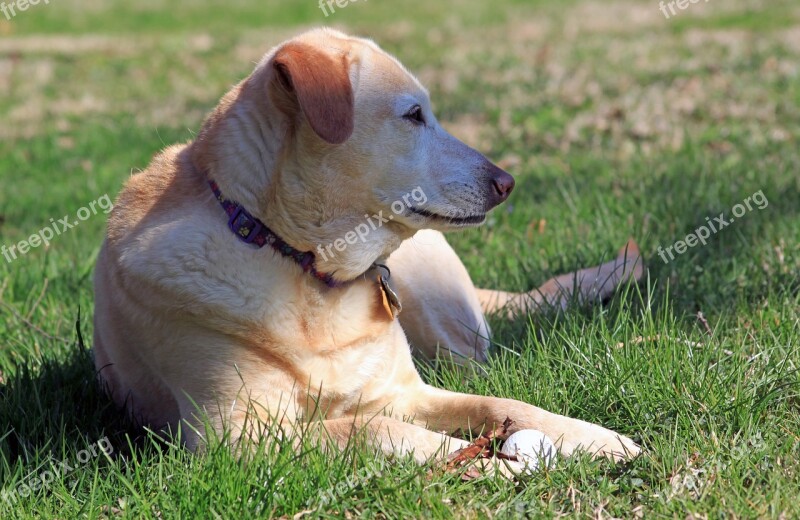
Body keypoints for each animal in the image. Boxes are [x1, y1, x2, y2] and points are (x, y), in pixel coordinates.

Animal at [94, 28, 644, 466]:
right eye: (414, 115)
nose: (506, 182)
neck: (305, 268)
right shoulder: (236, 436)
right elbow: (373, 428)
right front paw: (484, 463)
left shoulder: (405, 392)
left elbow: (504, 404)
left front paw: (598, 439)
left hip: (448, 335)